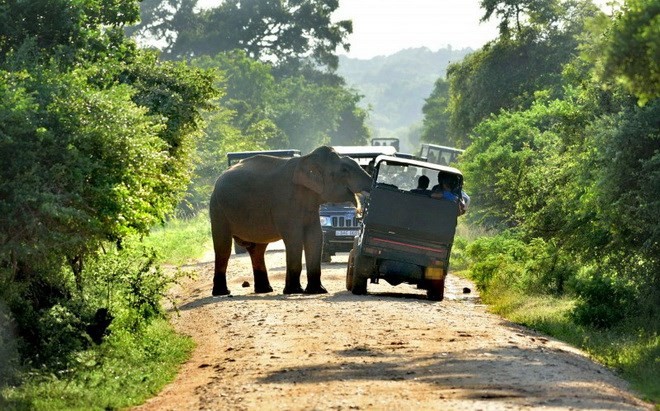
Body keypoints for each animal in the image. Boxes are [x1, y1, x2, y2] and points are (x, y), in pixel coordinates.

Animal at [209, 145, 374, 296]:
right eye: (344, 170)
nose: (359, 212)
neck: (307, 159)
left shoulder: (311, 207)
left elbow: (315, 237)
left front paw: (317, 291)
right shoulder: (285, 203)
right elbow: (294, 238)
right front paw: (294, 291)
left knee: (258, 249)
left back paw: (264, 290)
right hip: (217, 208)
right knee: (223, 247)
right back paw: (222, 292)